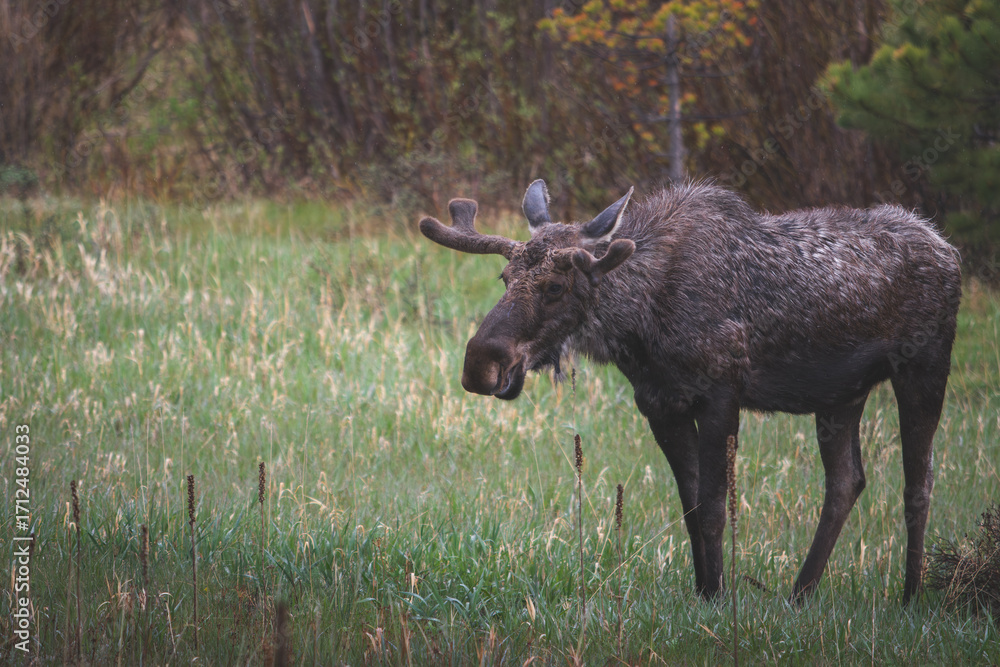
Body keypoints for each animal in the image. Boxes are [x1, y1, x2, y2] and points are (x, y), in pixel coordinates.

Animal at [419, 179, 961, 603]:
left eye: (556, 286)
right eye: (504, 276)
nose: (480, 364)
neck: (641, 323)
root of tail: (949, 249)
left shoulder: (721, 393)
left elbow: (717, 506)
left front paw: (719, 596)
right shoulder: (660, 403)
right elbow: (692, 506)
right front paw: (704, 590)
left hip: (924, 366)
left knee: (919, 483)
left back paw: (910, 596)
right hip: (841, 394)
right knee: (846, 481)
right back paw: (800, 594)